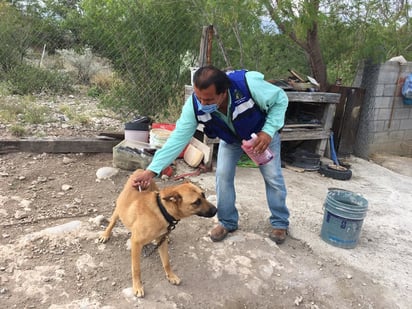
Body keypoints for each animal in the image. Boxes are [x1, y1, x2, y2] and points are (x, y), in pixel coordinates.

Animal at [98, 168, 217, 296]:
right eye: (196, 202)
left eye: (203, 195)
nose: (216, 210)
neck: (162, 210)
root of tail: (140, 170)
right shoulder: (136, 242)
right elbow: (136, 269)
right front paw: (137, 286)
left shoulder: (162, 241)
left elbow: (166, 262)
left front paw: (171, 276)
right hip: (118, 210)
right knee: (112, 222)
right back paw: (105, 235)